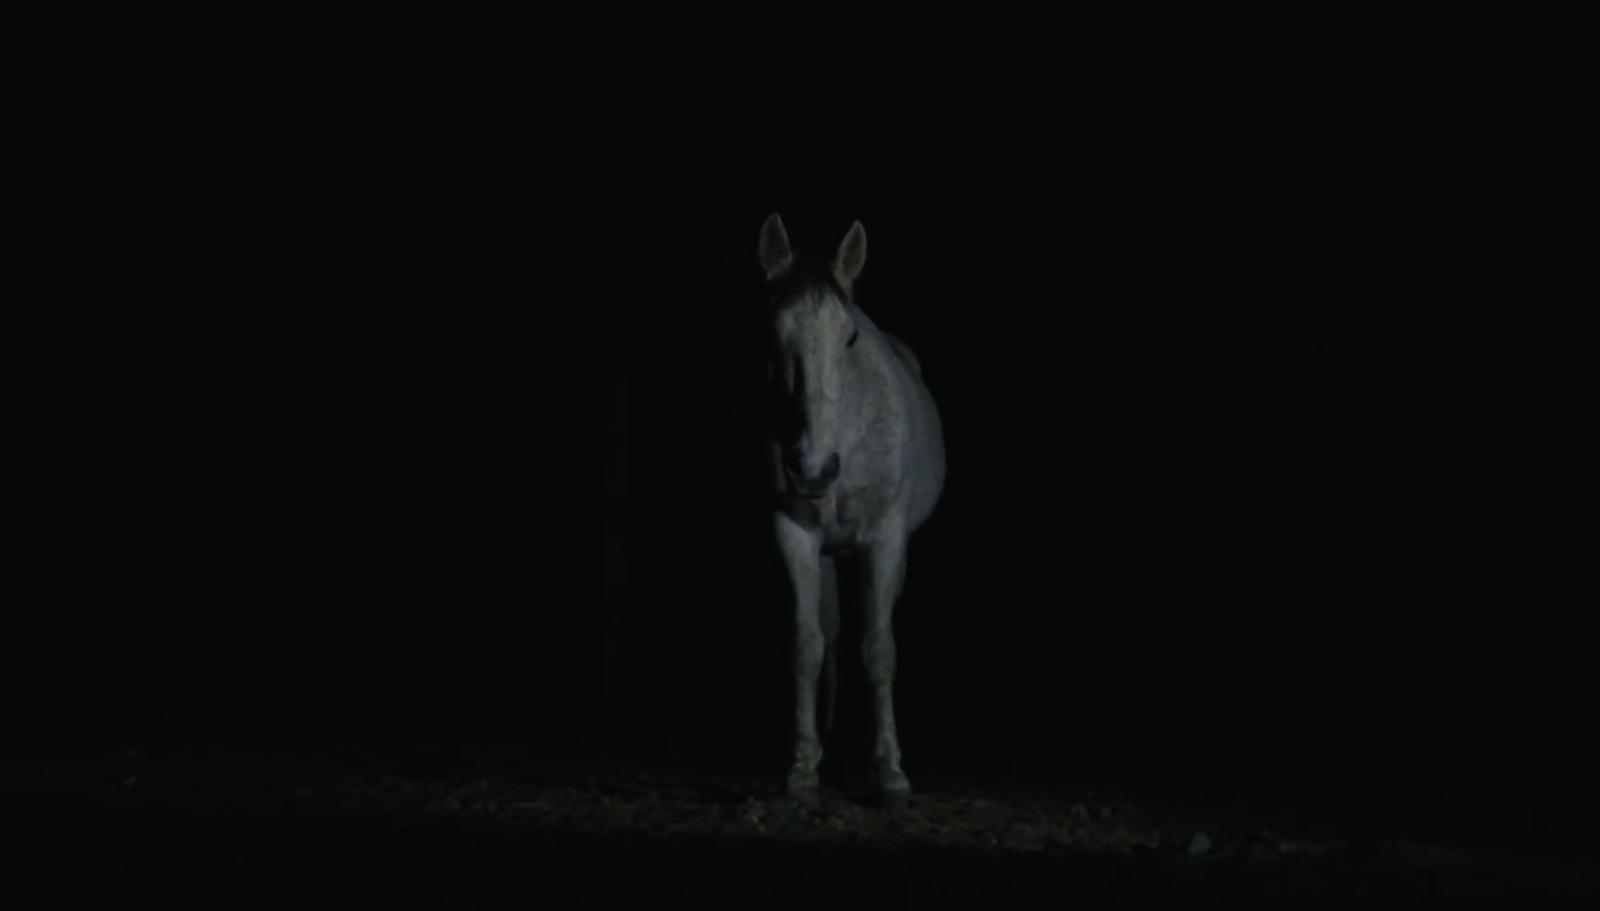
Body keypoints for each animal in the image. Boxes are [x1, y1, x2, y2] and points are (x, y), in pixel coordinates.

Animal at [756, 212, 946, 811]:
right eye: (771, 333)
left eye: (850, 337)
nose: (814, 470)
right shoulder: (793, 533)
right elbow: (808, 643)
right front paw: (803, 768)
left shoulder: (883, 539)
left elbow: (878, 648)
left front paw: (889, 773)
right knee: (834, 633)